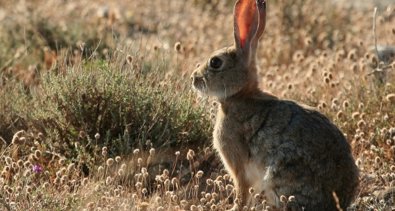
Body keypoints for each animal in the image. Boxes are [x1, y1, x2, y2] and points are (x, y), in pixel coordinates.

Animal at [190, 0, 360, 209]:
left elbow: (241, 193)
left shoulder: (238, 165)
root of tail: (338, 201)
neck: (240, 96)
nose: (194, 78)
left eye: (215, 62)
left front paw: (234, 208)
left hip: (282, 173)